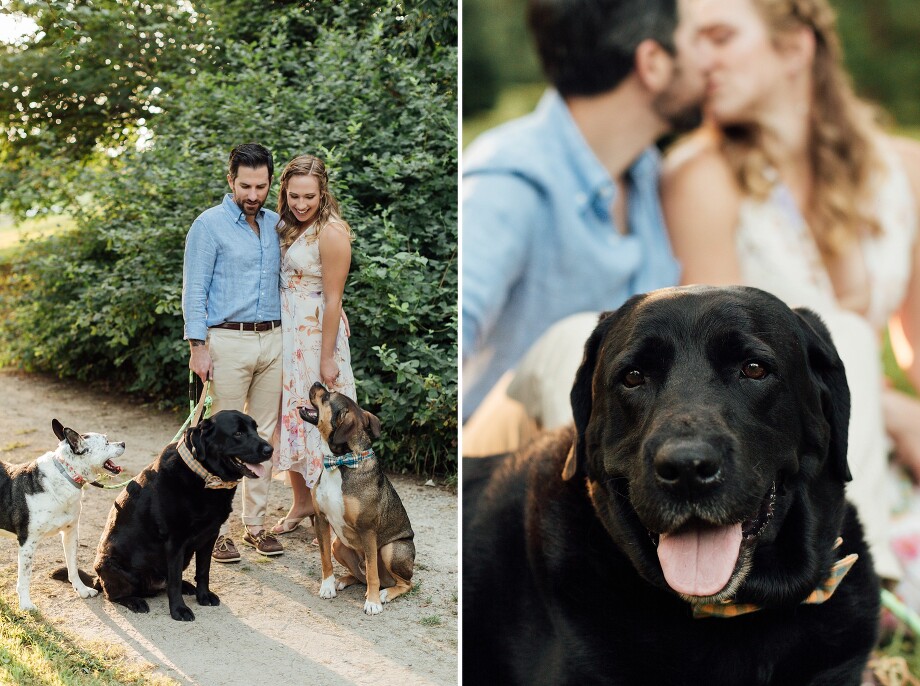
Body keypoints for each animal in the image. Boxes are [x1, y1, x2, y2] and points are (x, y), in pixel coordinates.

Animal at [0, 422, 124, 612]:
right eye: (106, 442)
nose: (123, 443)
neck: (66, 473)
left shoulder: (70, 533)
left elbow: (72, 566)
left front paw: (82, 590)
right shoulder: (27, 542)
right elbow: (25, 577)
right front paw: (26, 604)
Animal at [300, 384, 416, 616]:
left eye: (327, 397)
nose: (316, 383)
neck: (340, 462)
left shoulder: (367, 530)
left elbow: (372, 572)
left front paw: (372, 603)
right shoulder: (321, 519)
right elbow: (325, 559)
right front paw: (327, 586)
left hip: (391, 549)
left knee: (404, 583)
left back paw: (384, 593)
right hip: (338, 544)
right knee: (360, 576)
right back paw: (343, 580)